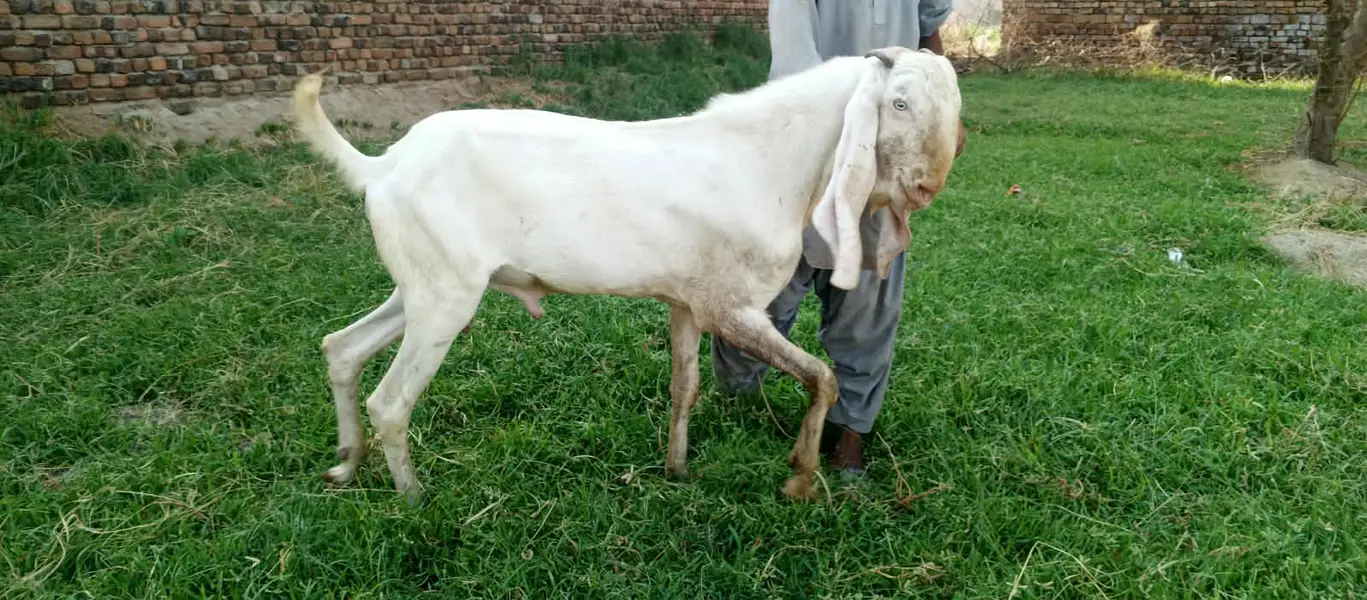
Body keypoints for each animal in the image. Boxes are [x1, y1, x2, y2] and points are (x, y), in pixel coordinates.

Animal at [291, 46, 963, 504]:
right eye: (898, 103)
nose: (927, 188)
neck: (767, 161)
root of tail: (382, 166)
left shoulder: (688, 301)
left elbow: (684, 385)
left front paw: (678, 470)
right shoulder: (731, 307)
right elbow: (823, 377)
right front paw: (799, 479)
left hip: (425, 284)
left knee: (341, 348)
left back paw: (345, 463)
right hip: (445, 296)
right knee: (390, 400)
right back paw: (415, 502)